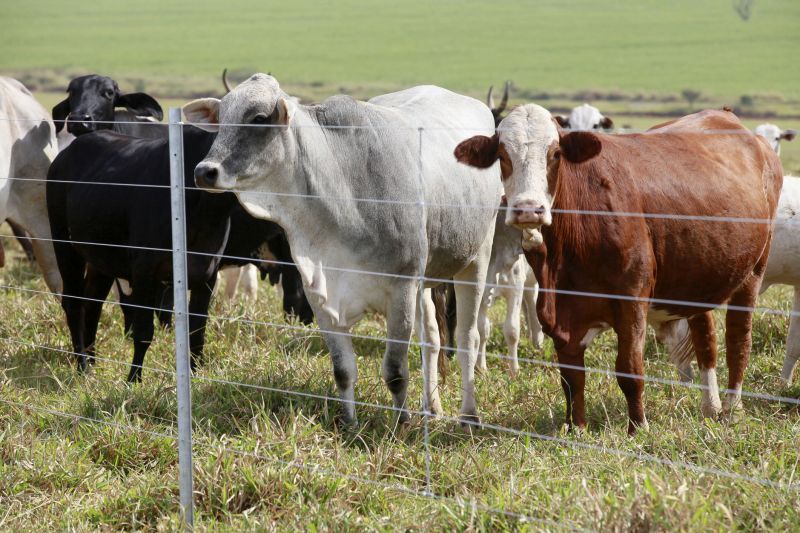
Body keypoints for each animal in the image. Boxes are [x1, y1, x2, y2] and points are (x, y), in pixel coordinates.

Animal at [185, 74, 502, 426]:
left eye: (258, 118)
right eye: (221, 118)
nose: (204, 171)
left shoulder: (401, 288)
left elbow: (395, 370)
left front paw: (401, 425)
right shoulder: (321, 293)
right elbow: (343, 369)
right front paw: (349, 423)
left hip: (476, 260)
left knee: (467, 339)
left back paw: (469, 416)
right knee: (432, 339)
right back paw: (431, 407)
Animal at [455, 105, 782, 434]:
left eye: (555, 153)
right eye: (502, 155)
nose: (528, 210)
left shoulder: (631, 303)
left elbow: (629, 369)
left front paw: (638, 427)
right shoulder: (559, 314)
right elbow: (572, 377)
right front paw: (577, 428)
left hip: (753, 272)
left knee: (739, 340)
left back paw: (731, 408)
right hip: (700, 274)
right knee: (706, 339)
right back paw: (710, 407)